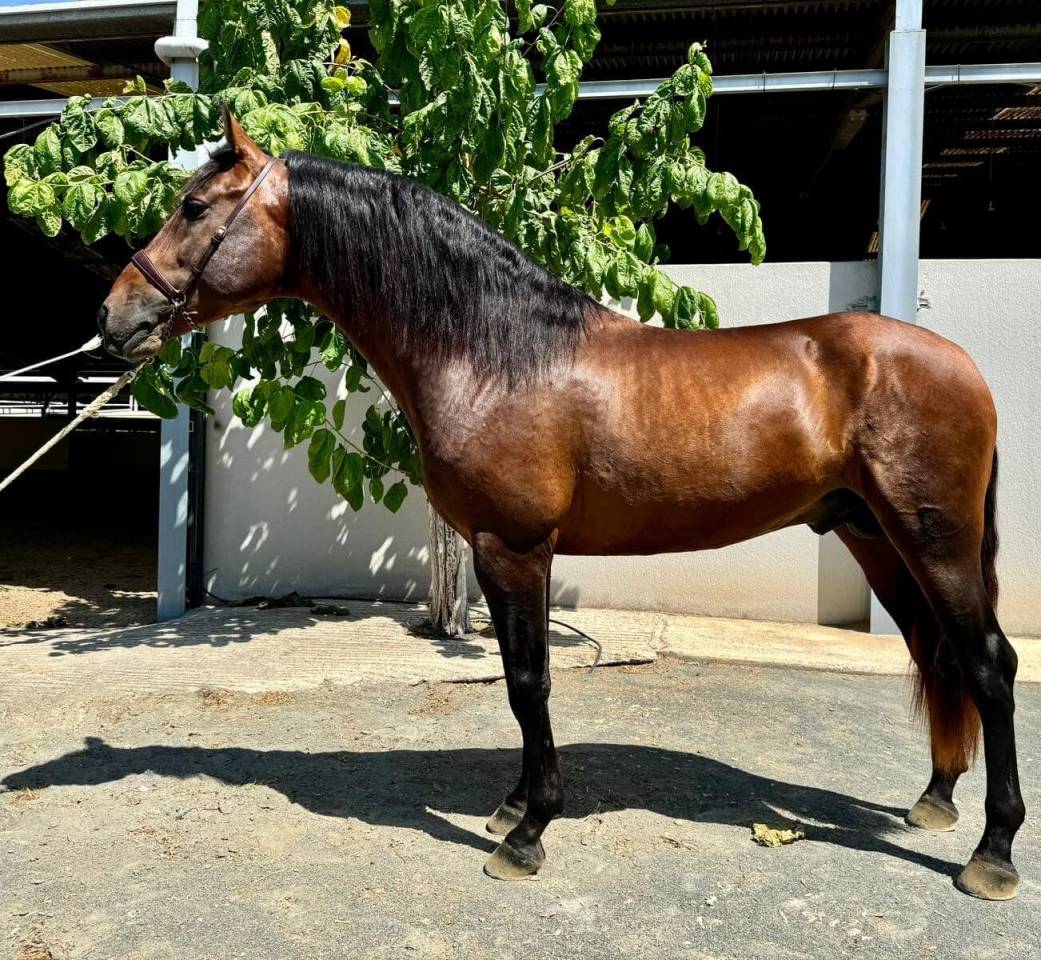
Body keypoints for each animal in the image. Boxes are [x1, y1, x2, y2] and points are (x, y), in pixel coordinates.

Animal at [97, 107, 1023, 900]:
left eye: (192, 206)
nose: (113, 318)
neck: (497, 350)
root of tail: (964, 366)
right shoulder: (499, 549)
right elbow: (518, 680)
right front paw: (513, 806)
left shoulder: (514, 545)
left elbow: (528, 680)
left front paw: (527, 833)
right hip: (874, 536)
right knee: (936, 652)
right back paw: (935, 798)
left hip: (931, 540)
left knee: (988, 664)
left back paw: (992, 853)